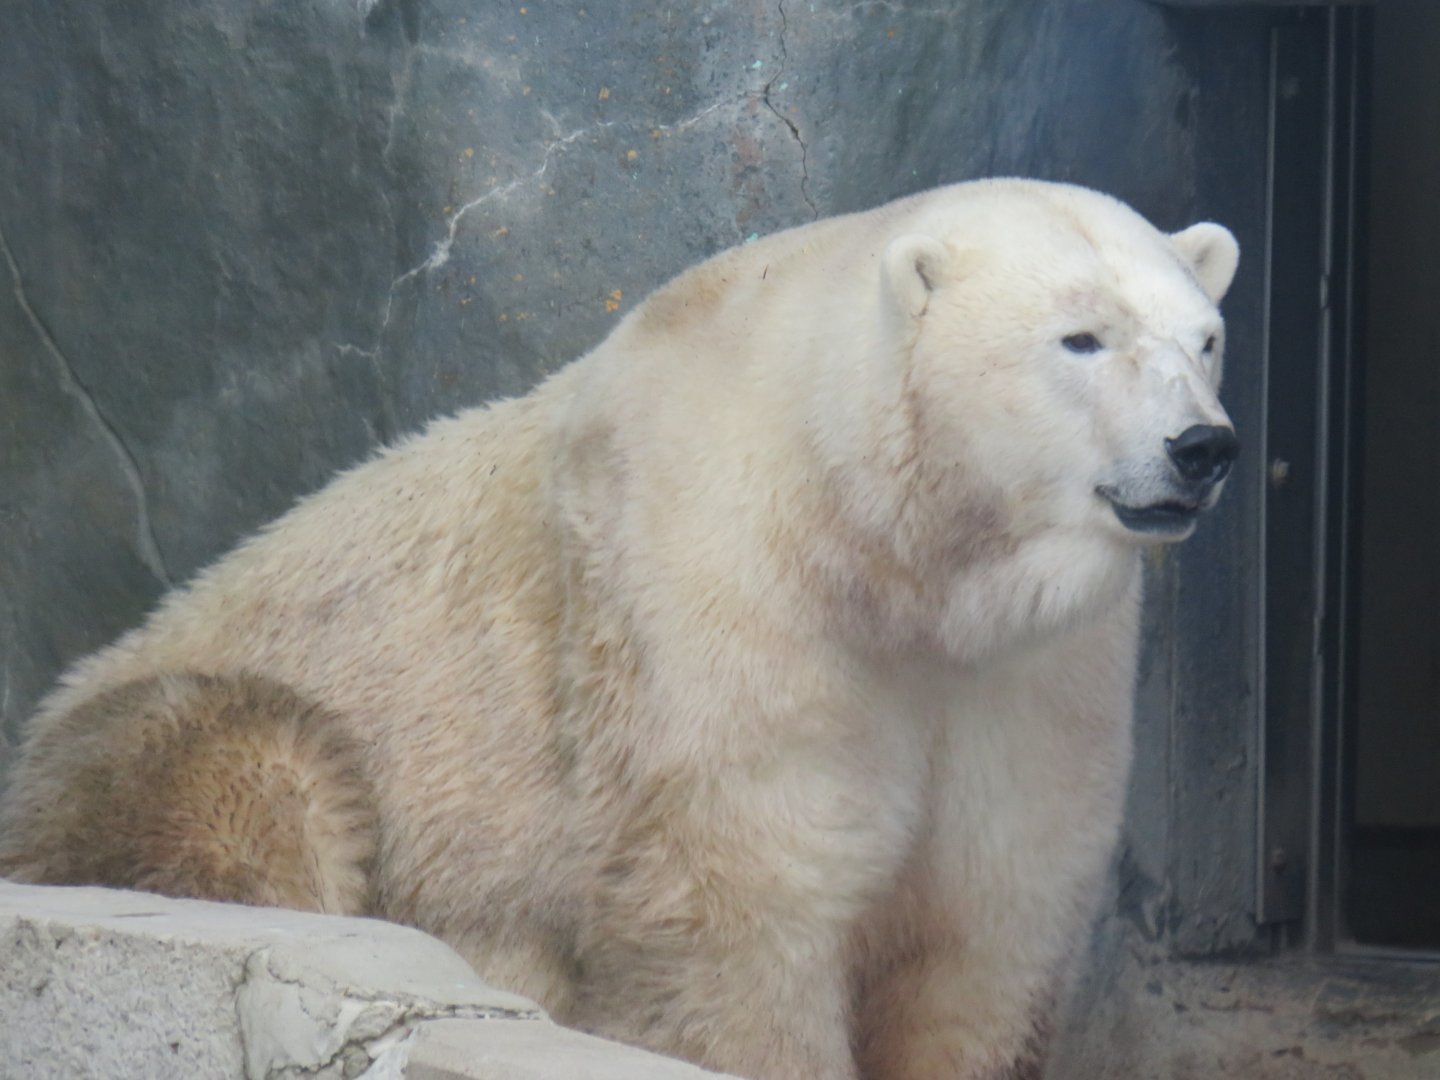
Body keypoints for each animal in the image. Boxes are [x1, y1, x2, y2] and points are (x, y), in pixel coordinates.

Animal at [0, 179, 1239, 1080]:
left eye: (1206, 336)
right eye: (1081, 338)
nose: (1202, 447)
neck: (883, 547)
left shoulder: (1034, 673)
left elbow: (985, 916)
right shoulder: (716, 593)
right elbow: (740, 912)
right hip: (160, 732)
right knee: (253, 778)